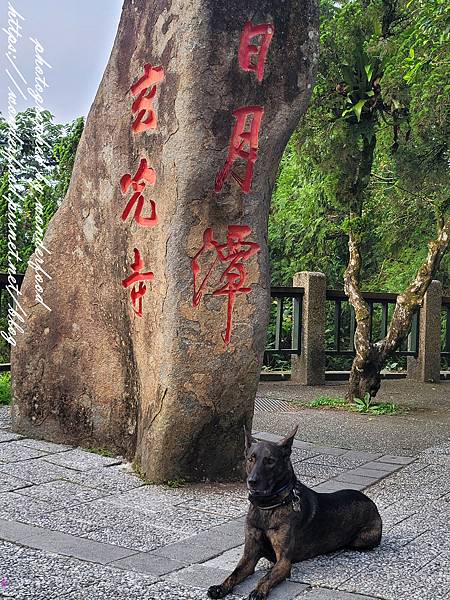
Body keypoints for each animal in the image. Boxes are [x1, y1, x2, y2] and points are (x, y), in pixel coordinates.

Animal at [207, 426, 380, 600]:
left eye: (270, 461)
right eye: (251, 459)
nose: (252, 481)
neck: (269, 506)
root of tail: (370, 501)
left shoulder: (283, 562)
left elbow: (267, 576)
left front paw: (258, 591)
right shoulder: (249, 556)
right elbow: (234, 574)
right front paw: (220, 587)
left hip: (362, 540)